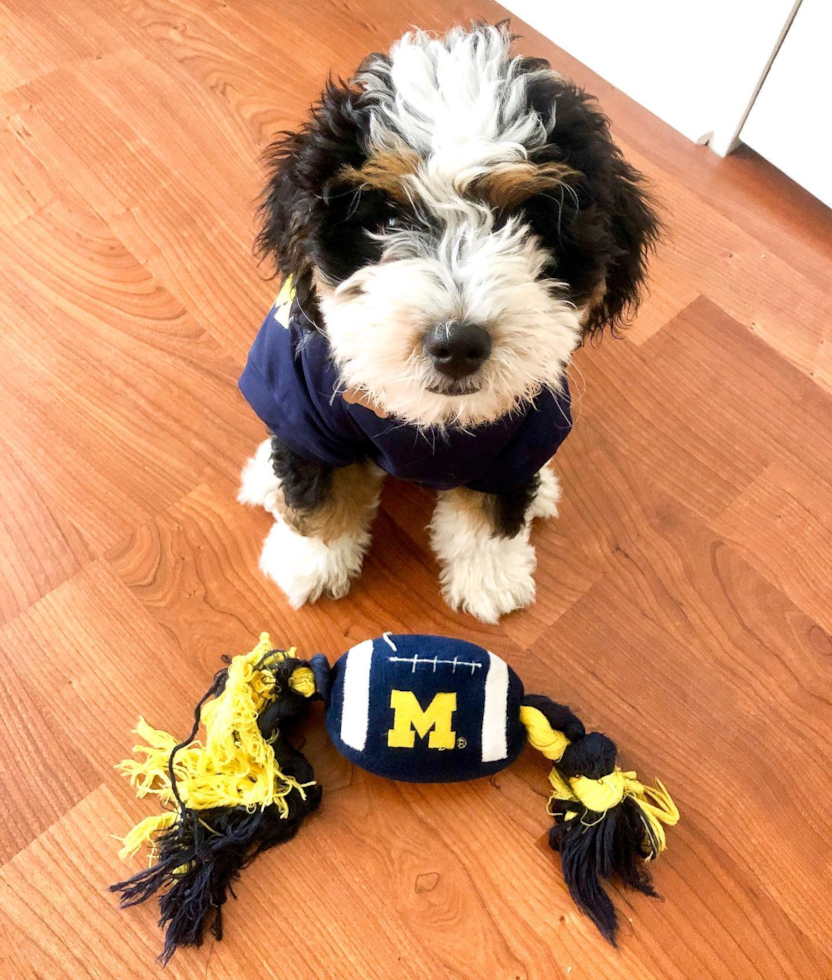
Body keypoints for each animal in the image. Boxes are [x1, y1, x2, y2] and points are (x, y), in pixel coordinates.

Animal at [237, 23, 660, 624]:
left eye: (529, 222)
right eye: (389, 218)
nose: (458, 344)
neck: (433, 423)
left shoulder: (523, 436)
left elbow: (494, 505)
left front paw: (489, 576)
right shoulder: (304, 403)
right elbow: (315, 486)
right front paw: (311, 561)